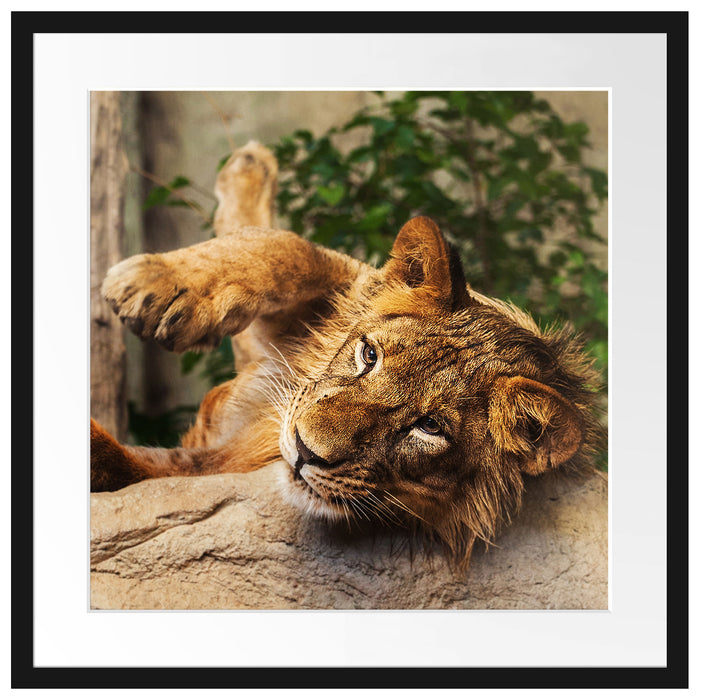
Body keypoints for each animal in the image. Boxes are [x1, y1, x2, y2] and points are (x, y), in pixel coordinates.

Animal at [91, 143, 604, 568]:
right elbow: (289, 248)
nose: (303, 450)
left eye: (430, 427)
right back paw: (250, 164)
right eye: (369, 354)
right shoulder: (338, 290)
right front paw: (153, 286)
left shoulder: (208, 467)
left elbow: (125, 465)